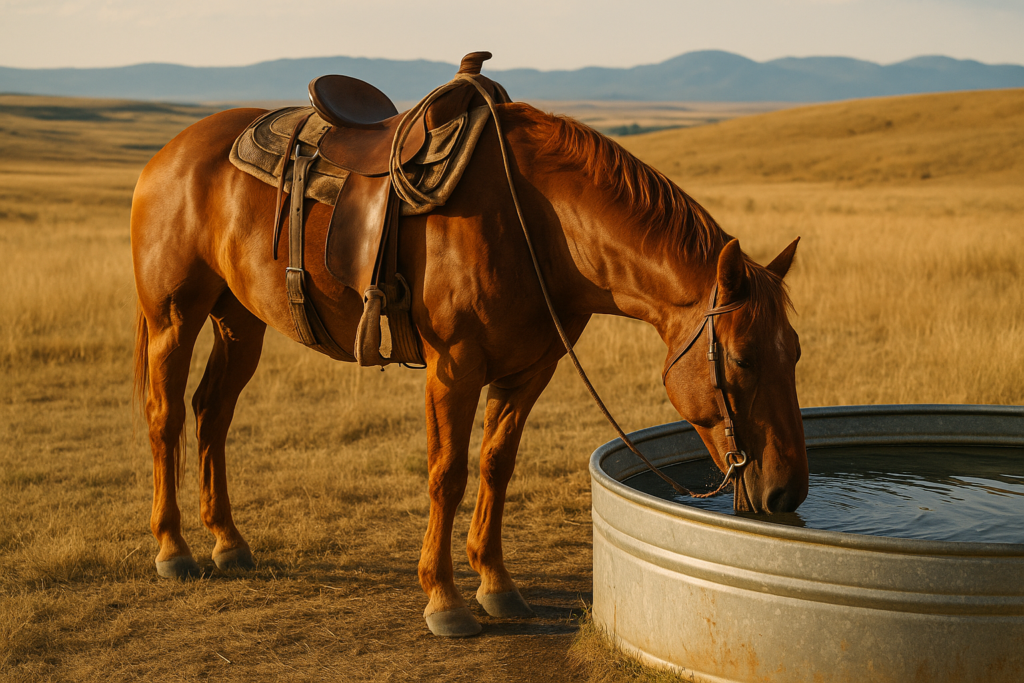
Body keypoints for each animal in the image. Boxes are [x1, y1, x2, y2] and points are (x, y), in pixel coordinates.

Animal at [131, 93, 807, 637]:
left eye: (794, 353)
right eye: (742, 358)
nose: (787, 492)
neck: (537, 222)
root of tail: (171, 151)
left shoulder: (528, 372)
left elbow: (495, 467)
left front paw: (498, 586)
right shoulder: (453, 369)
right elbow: (447, 474)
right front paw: (444, 600)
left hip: (239, 321)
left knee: (212, 413)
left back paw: (227, 542)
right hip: (174, 319)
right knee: (166, 418)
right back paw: (173, 549)